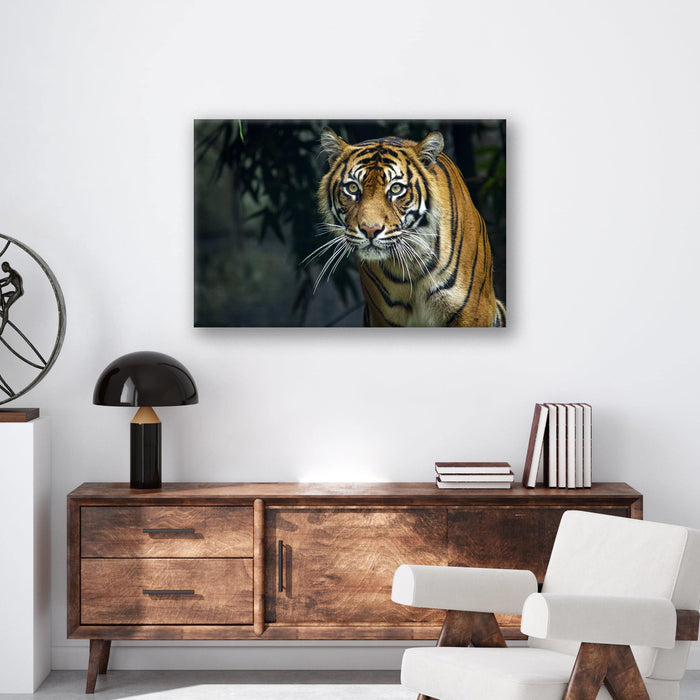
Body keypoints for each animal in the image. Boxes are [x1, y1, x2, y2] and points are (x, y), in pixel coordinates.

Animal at [313, 128, 505, 327]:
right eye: (352, 188)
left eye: (396, 189)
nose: (370, 230)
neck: (410, 266)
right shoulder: (382, 317)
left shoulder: (472, 312)